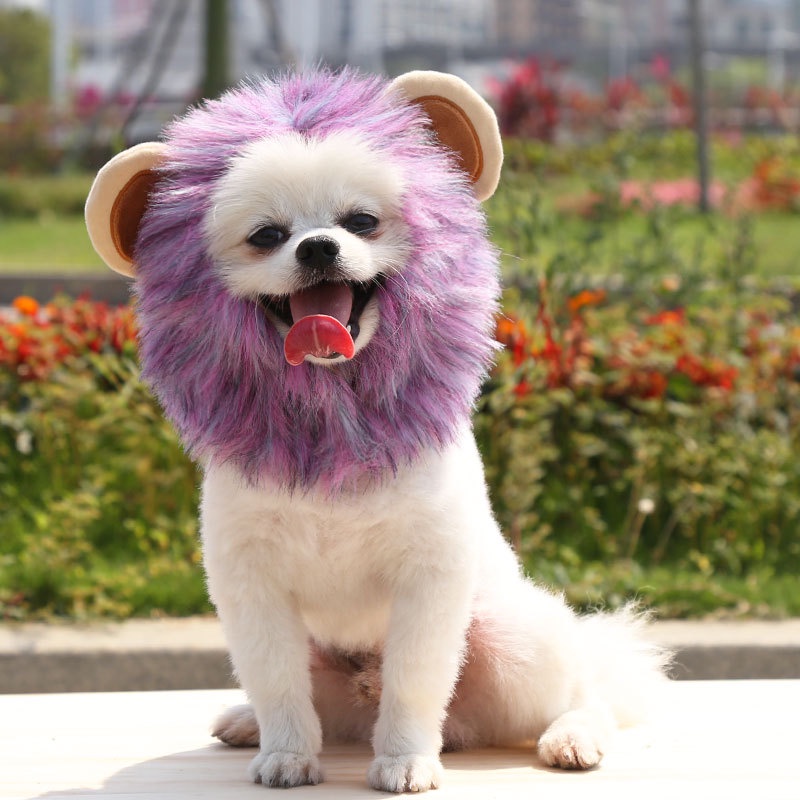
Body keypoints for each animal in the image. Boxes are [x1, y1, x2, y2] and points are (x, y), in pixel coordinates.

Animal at [86, 70, 668, 792]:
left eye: (361, 221)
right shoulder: (251, 583)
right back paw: (250, 722)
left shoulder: (428, 577)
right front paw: (285, 753)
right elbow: (275, 681)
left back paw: (571, 737)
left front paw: (406, 760)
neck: (335, 417)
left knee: (587, 694)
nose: (317, 245)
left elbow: (415, 682)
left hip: (512, 640)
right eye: (266, 235)